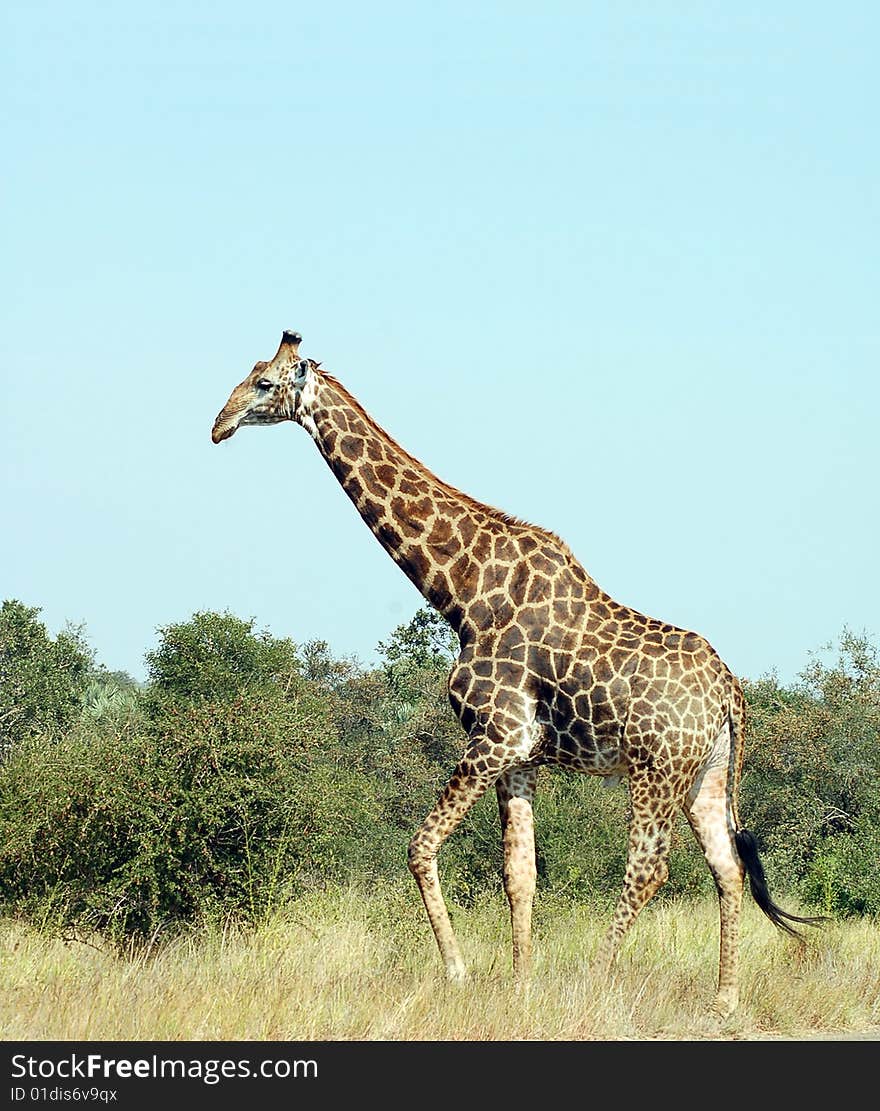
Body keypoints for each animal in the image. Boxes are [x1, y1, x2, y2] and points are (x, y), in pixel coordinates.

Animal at [210, 326, 822, 1017]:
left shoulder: (493, 736)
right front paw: (520, 984)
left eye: (263, 383)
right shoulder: (520, 755)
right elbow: (519, 873)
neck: (462, 592)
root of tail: (731, 693)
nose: (219, 424)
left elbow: (420, 846)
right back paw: (724, 999)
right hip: (707, 774)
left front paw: (458, 973)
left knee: (649, 867)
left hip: (655, 768)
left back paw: (598, 981)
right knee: (727, 867)